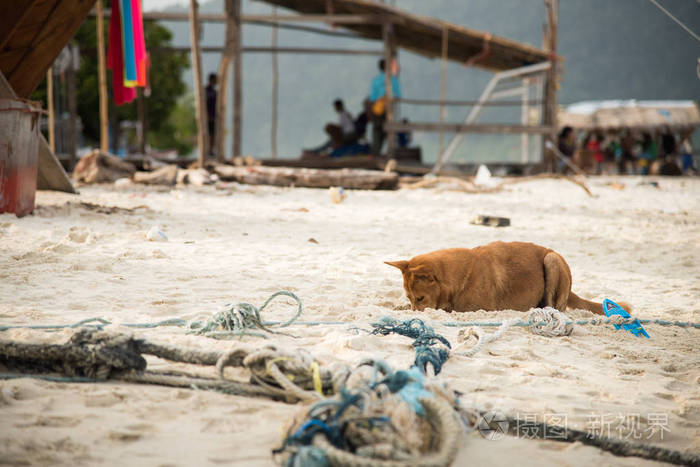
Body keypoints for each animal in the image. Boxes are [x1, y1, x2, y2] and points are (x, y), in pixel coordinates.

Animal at [388, 241, 624, 314]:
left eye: (421, 298)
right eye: (410, 298)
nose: (414, 311)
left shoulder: (477, 309)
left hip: (552, 260)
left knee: (555, 306)